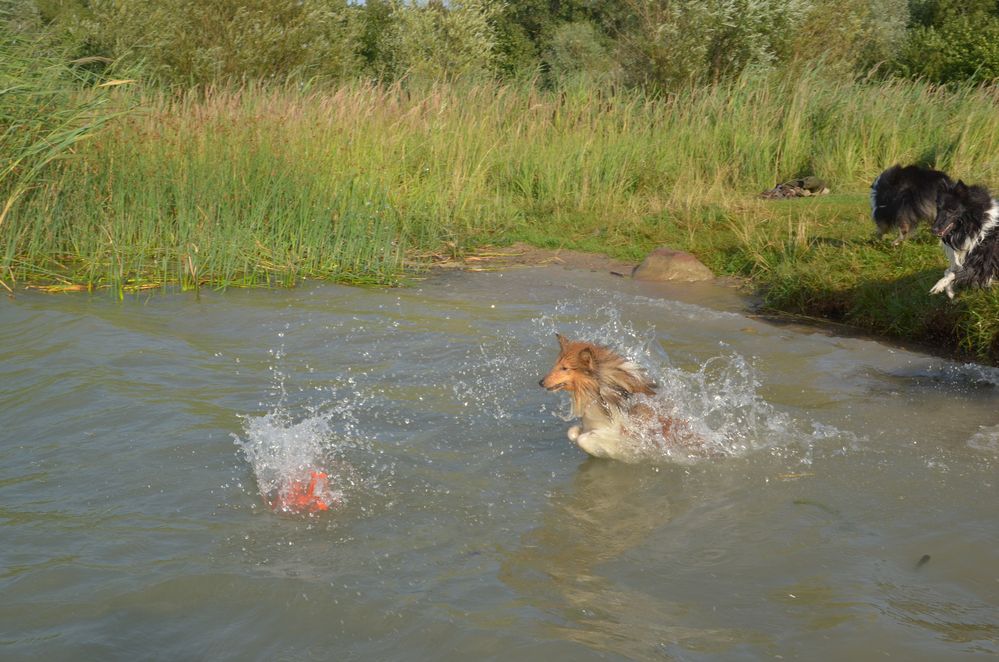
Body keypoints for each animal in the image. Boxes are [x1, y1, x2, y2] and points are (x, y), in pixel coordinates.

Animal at [540, 334, 696, 464]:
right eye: (556, 365)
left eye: (564, 368)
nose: (540, 382)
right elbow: (572, 432)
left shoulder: (626, 435)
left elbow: (584, 439)